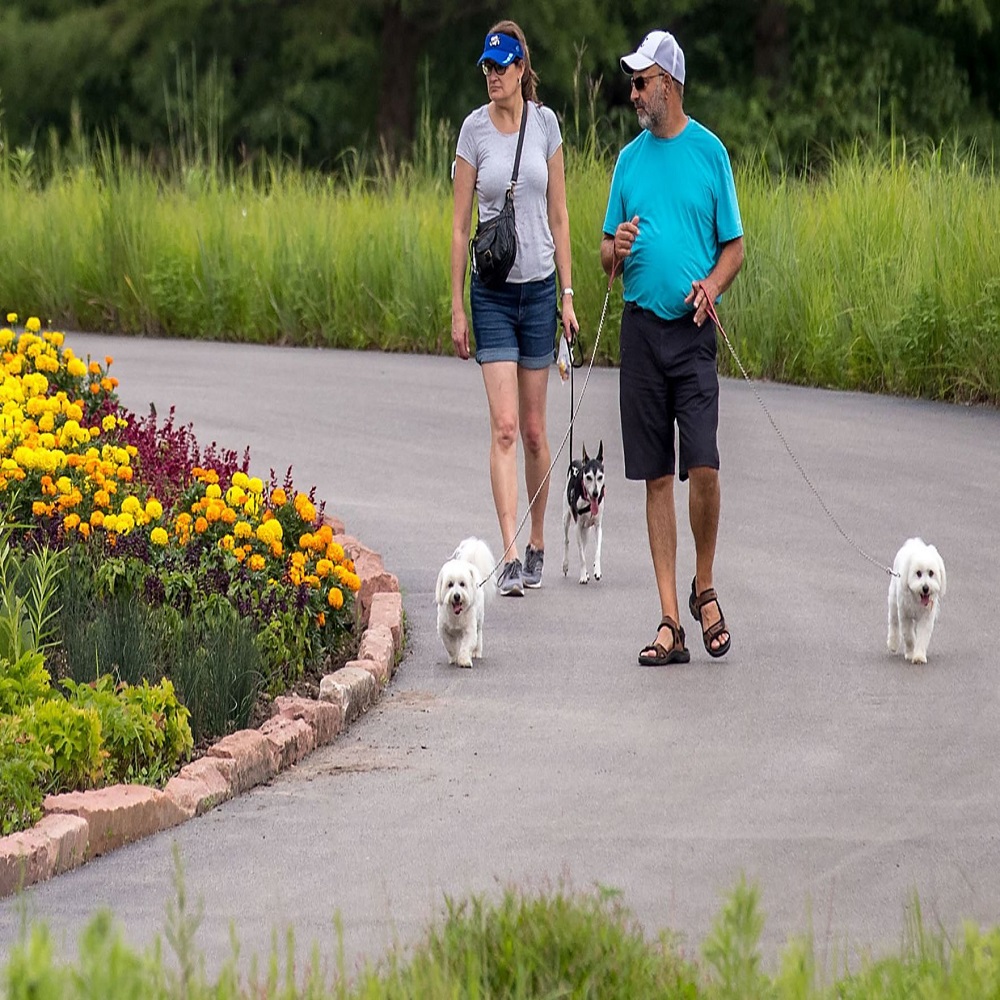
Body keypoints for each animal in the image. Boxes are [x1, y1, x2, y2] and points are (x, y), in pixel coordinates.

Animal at [434, 536, 496, 668]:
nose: (457, 596)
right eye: (450, 584)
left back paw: (476, 651)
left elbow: (466, 645)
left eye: (462, 584)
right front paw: (454, 657)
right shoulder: (444, 630)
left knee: (479, 634)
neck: (456, 615)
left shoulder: (469, 629)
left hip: (479, 619)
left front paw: (463, 660)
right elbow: (450, 646)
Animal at [564, 440, 600, 584]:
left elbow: (597, 550)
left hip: (587, 530)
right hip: (566, 520)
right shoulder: (577, 527)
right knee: (567, 541)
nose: (596, 493)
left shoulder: (597, 527)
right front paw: (583, 576)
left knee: (584, 545)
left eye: (600, 477)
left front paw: (596, 570)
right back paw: (566, 565)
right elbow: (581, 556)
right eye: (588, 477)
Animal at [888, 536, 948, 668]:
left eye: (931, 573)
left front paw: (919, 656)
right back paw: (893, 644)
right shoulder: (905, 615)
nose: (925, 588)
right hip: (894, 601)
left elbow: (922, 637)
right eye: (918, 573)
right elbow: (909, 636)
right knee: (893, 623)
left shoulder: (926, 617)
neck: (918, 599)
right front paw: (911, 653)